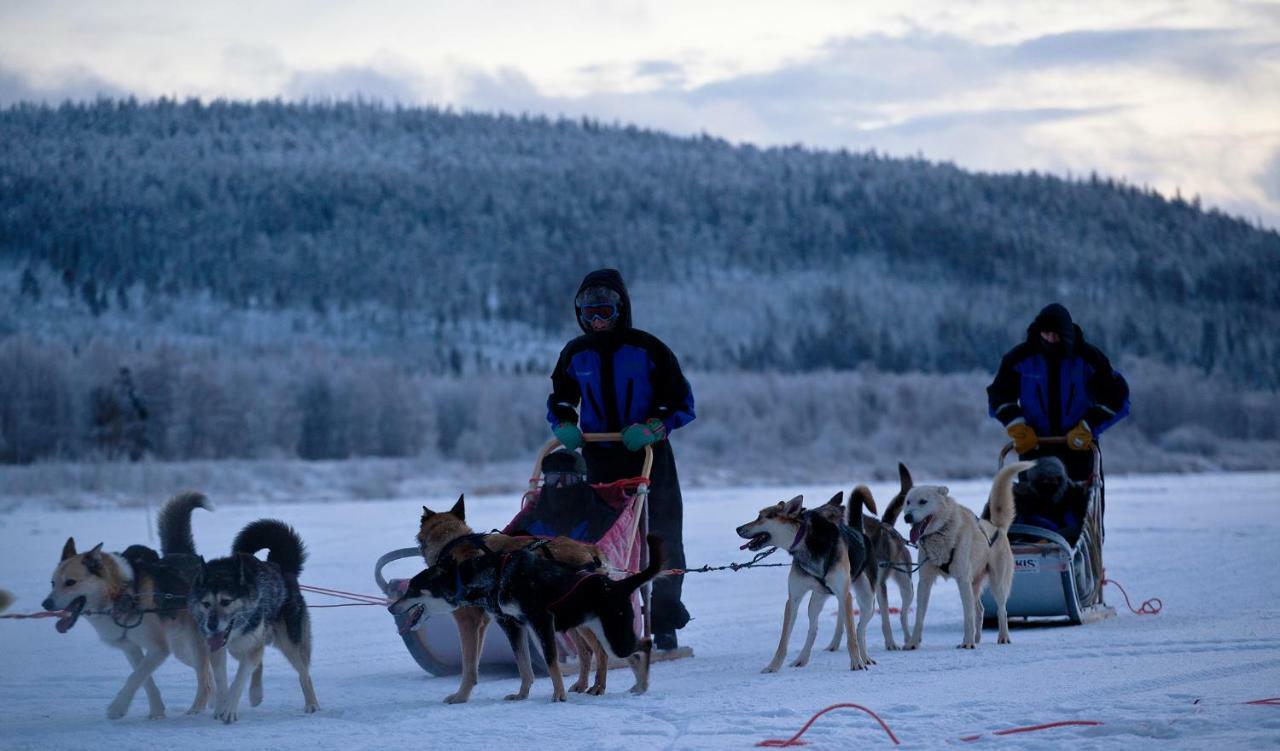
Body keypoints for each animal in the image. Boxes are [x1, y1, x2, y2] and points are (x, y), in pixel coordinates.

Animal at [189, 516, 320, 721]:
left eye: (226, 601)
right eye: (206, 603)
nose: (211, 625)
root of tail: (280, 566)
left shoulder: (248, 645)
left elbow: (239, 679)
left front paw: (229, 710)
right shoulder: (217, 649)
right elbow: (221, 680)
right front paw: (221, 706)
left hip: (289, 644)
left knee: (304, 673)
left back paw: (312, 704)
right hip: (243, 647)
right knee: (259, 661)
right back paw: (256, 694)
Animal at [389, 532, 660, 701]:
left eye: (413, 589)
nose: (391, 608)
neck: (491, 576)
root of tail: (616, 584)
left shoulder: (541, 621)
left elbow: (550, 661)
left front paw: (559, 694)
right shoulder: (514, 625)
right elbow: (523, 664)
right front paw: (521, 694)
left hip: (613, 636)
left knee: (644, 645)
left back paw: (642, 683)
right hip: (609, 635)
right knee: (632, 652)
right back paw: (638, 684)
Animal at [412, 496, 606, 701]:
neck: (453, 542)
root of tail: (589, 550)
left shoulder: (469, 621)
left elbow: (468, 665)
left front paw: (461, 696)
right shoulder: (494, 622)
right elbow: (512, 663)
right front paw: (521, 693)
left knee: (600, 650)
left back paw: (598, 686)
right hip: (569, 620)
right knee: (586, 651)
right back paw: (582, 684)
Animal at [737, 491, 875, 670]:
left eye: (761, 516)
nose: (738, 528)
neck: (805, 543)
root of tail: (859, 533)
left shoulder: (844, 594)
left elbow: (851, 634)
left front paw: (857, 662)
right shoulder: (794, 599)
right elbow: (783, 640)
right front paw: (773, 666)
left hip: (867, 600)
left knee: (859, 629)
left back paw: (865, 658)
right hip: (816, 601)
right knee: (813, 629)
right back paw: (801, 659)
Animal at [890, 460, 1039, 649]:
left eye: (923, 501)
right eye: (908, 502)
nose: (907, 517)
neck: (941, 534)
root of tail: (997, 528)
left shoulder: (962, 580)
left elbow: (967, 616)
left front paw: (967, 643)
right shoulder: (925, 582)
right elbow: (919, 617)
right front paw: (913, 643)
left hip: (996, 584)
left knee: (1001, 610)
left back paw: (1002, 637)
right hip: (973, 585)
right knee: (980, 610)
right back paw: (977, 638)